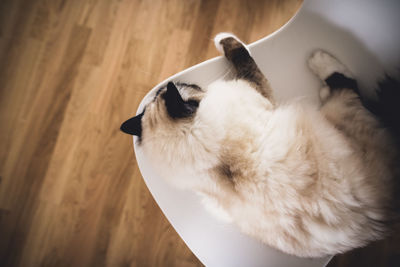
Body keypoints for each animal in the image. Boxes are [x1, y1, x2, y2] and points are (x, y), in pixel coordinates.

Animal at [120, 32, 398, 258]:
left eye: (188, 86)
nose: (179, 82)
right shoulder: (256, 89)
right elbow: (241, 54)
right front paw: (221, 38)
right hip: (344, 112)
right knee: (344, 83)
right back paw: (318, 60)